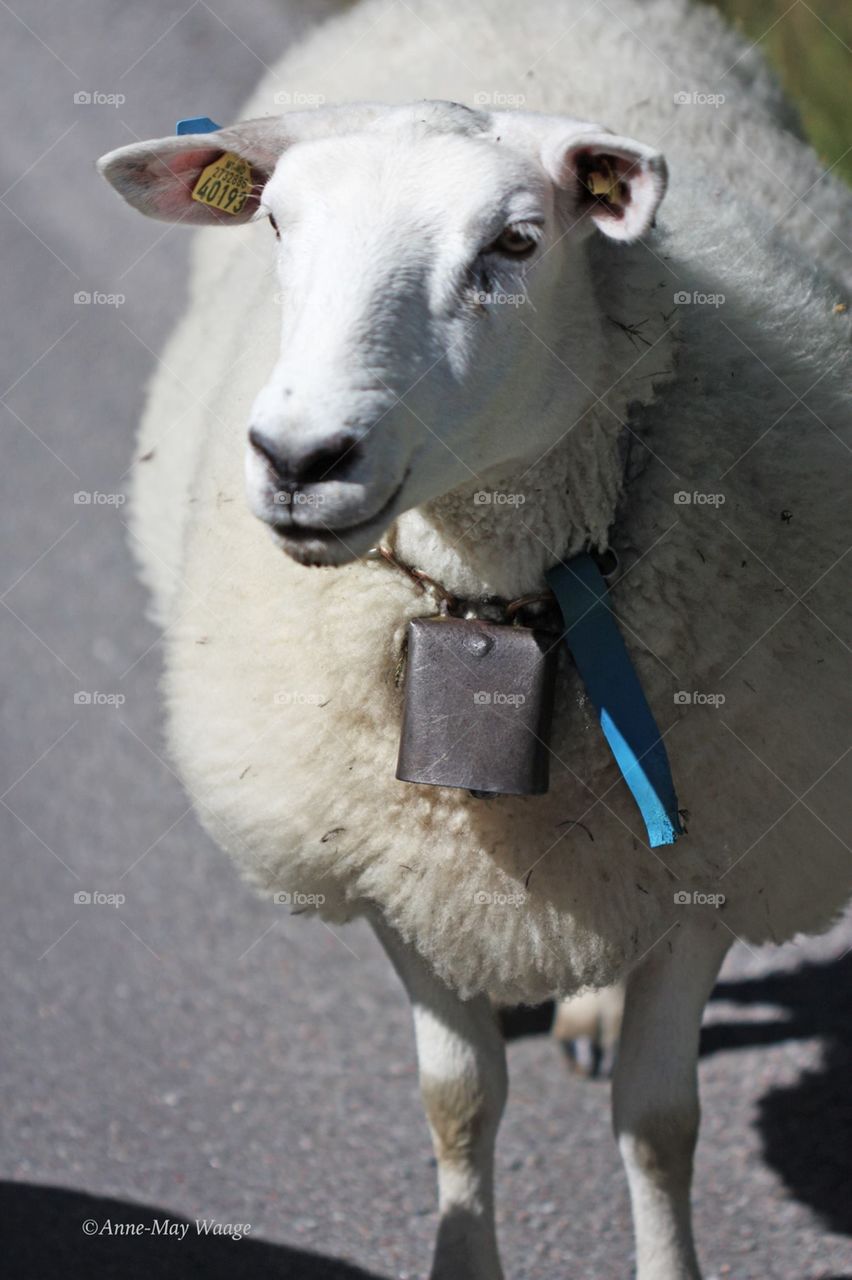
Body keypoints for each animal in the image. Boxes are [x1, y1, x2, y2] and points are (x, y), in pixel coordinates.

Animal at [97, 0, 852, 1276]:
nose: (301, 458)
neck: (495, 598)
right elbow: (459, 1099)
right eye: (278, 222)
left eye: (515, 242)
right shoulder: (401, 872)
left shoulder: (717, 860)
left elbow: (660, 1123)